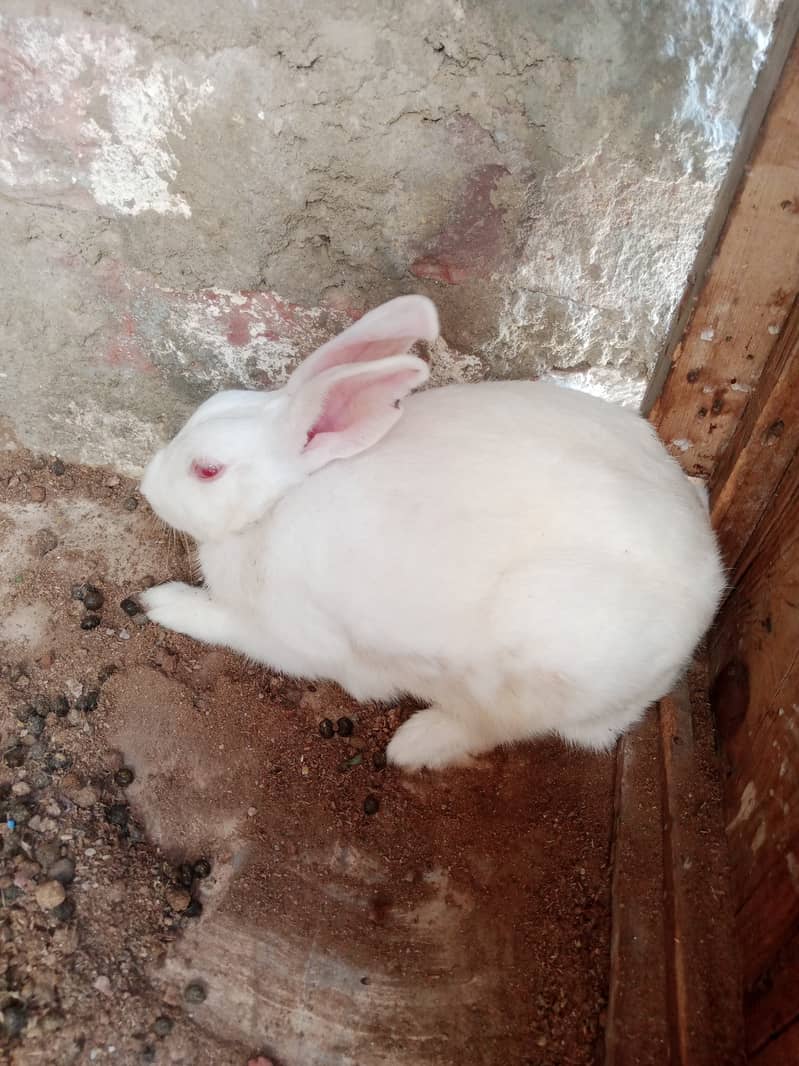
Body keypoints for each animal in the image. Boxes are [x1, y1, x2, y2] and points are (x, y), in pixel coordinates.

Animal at [139, 294, 725, 770]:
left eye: (207, 470)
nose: (146, 485)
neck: (278, 504)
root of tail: (710, 589)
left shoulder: (292, 639)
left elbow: (224, 623)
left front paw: (159, 603)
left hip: (529, 670)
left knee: (497, 727)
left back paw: (415, 743)